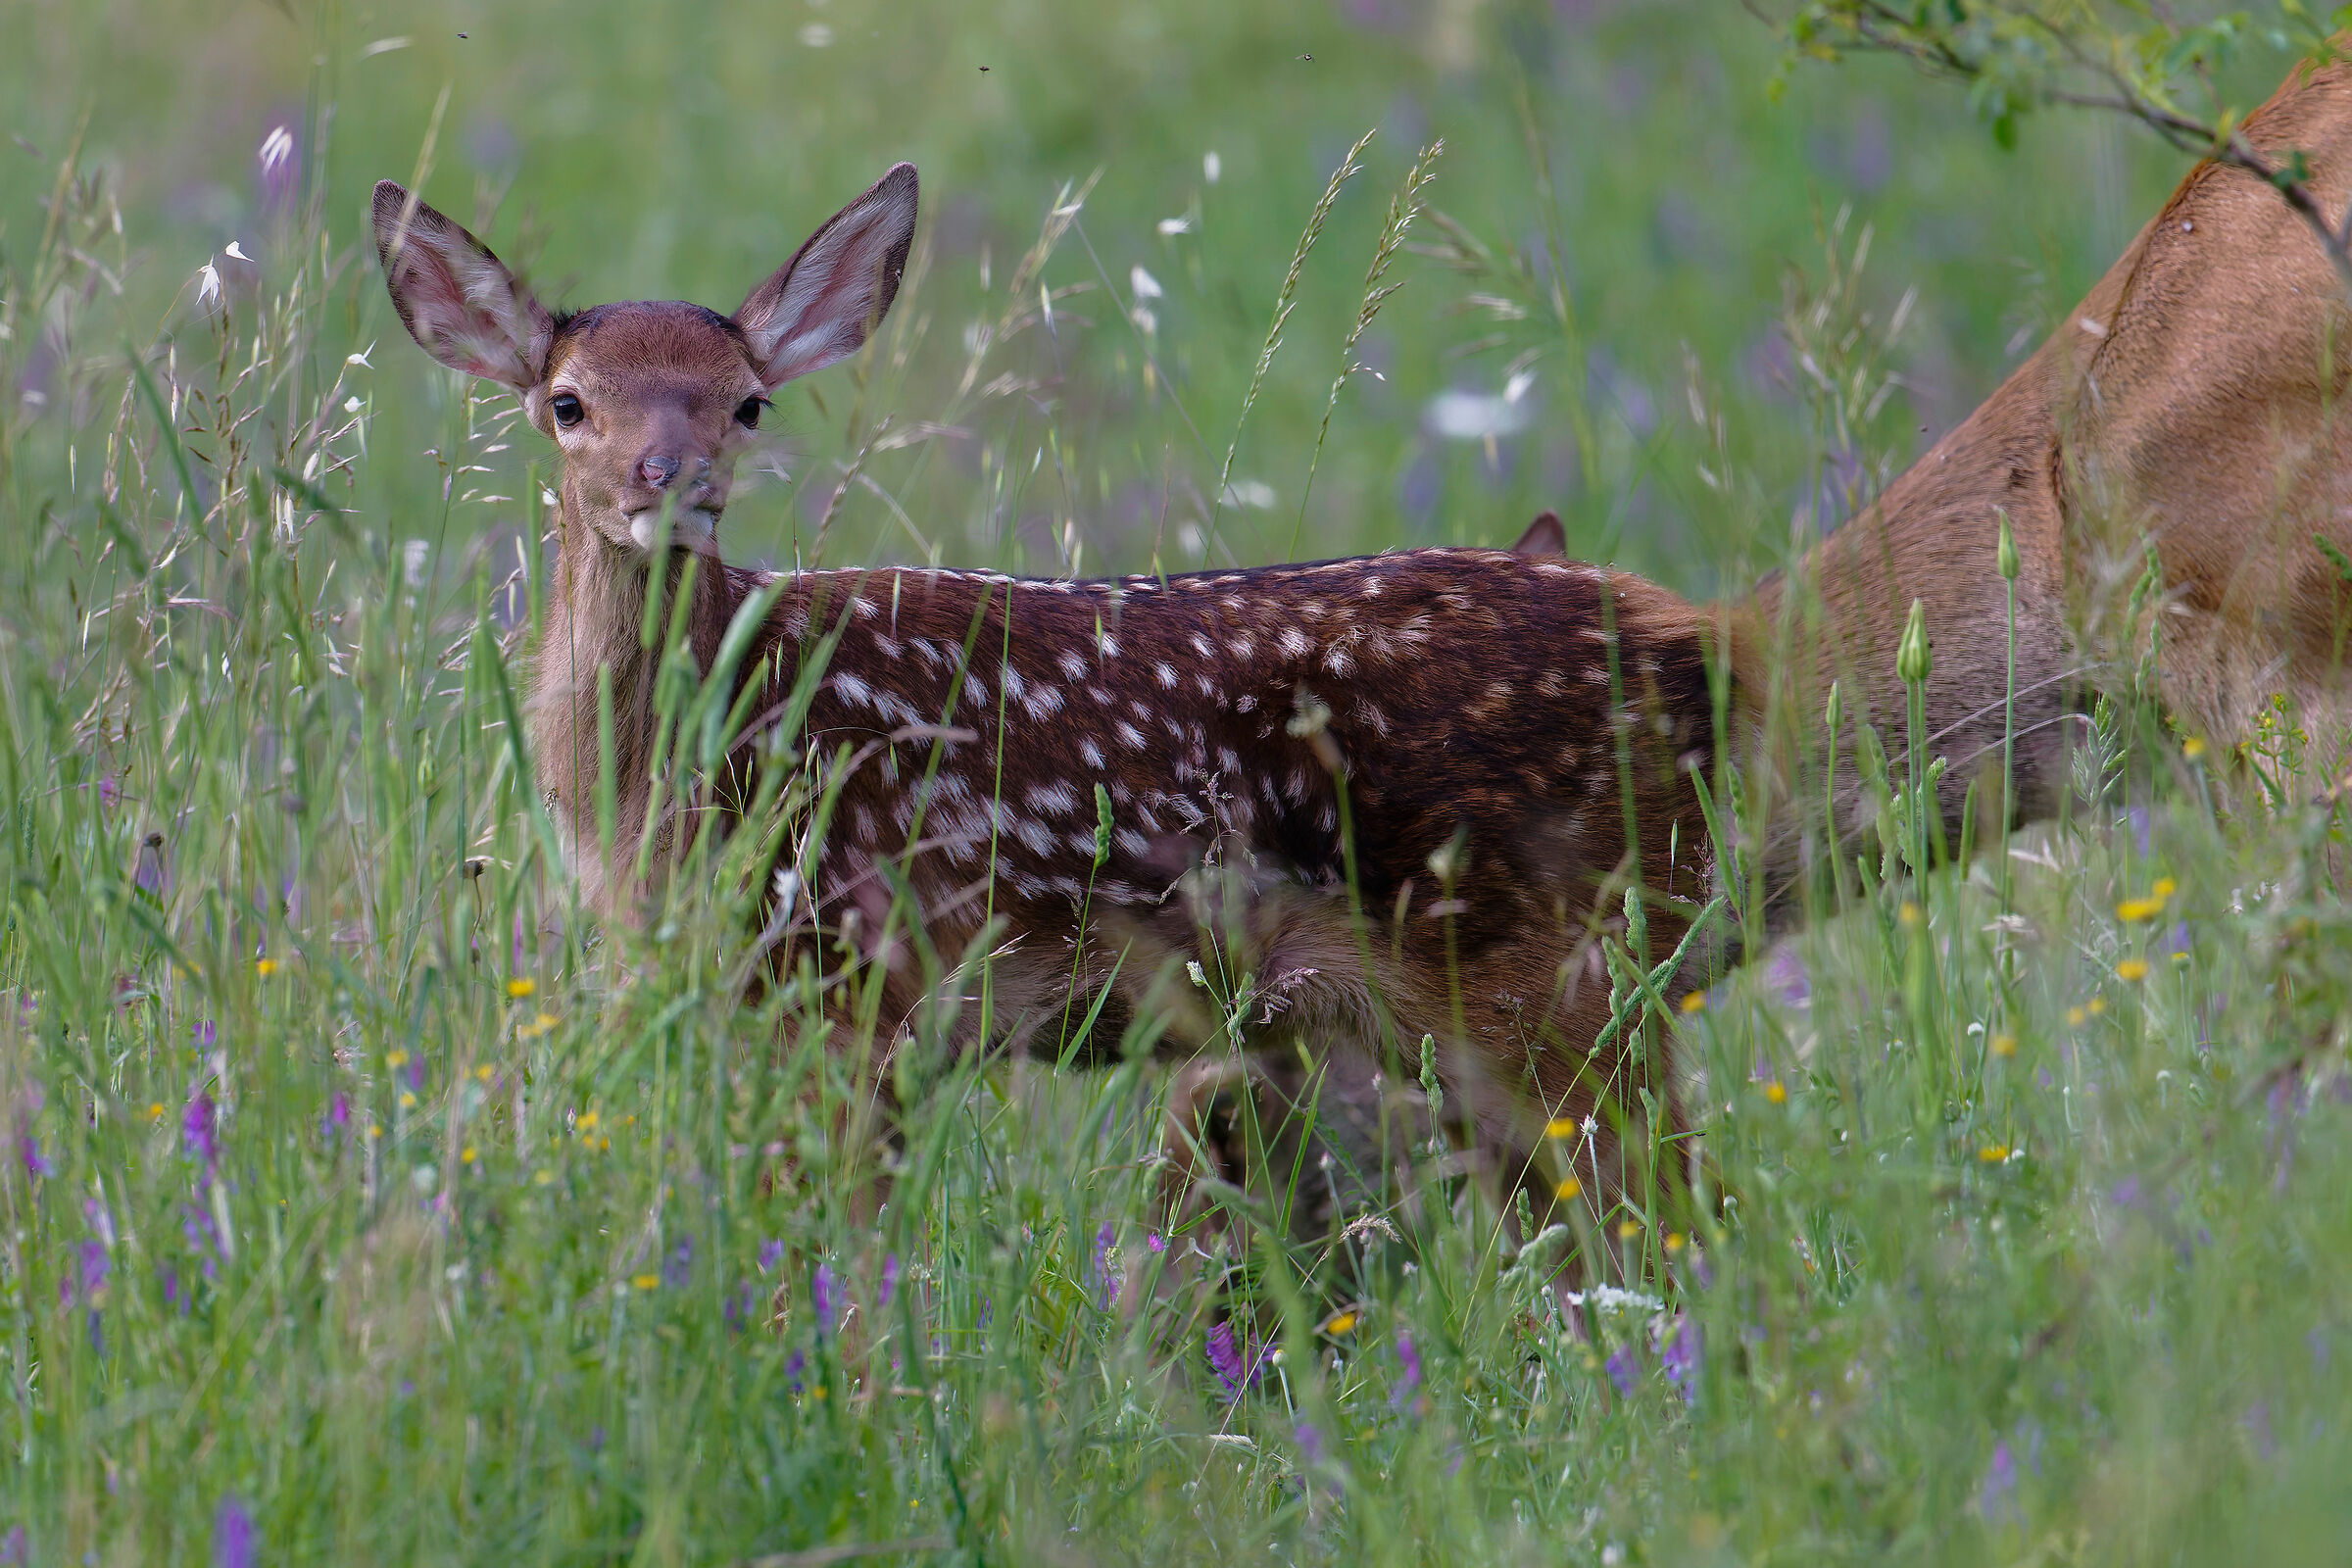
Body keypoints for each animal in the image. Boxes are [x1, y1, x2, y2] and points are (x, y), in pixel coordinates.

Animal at [371, 52, 2352, 1245]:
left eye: (750, 399)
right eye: (564, 398)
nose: (671, 484)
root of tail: (1677, 654)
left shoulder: (839, 982)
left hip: (1555, 982)